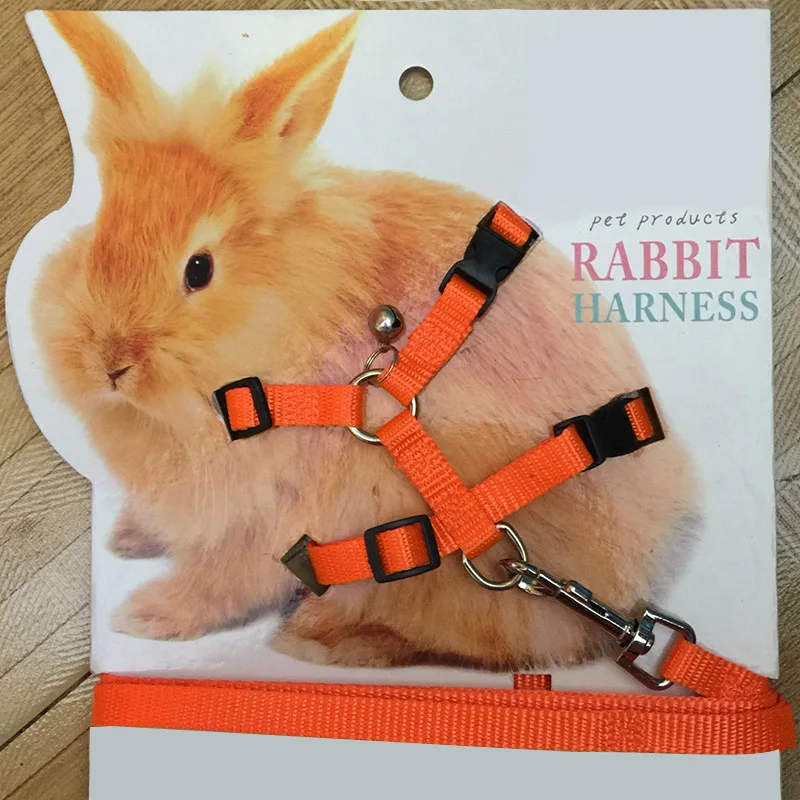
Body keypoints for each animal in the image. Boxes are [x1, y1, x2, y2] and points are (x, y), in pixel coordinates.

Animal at [34, 10, 697, 671]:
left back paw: (322, 640)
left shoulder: (269, 516)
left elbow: (224, 579)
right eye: (95, 244)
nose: (109, 364)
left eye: (199, 269)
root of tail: (622, 591)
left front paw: (147, 614)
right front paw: (127, 536)